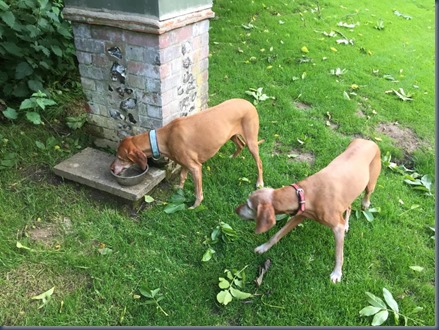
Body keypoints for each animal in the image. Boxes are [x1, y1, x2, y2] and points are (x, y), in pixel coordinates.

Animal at [111, 98, 266, 208]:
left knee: (259, 162)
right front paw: (179, 189)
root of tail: (249, 103)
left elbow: (198, 192)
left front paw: (195, 206)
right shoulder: (184, 163)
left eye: (120, 157)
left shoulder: (195, 167)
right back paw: (232, 157)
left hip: (252, 141)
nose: (111, 169)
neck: (164, 137)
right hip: (232, 135)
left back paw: (259, 182)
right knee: (240, 144)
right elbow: (182, 177)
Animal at [235, 138, 384, 282]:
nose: (235, 210)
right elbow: (277, 235)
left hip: (370, 184)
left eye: (249, 206)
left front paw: (337, 273)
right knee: (349, 206)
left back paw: (364, 204)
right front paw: (263, 248)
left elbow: (339, 254)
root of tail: (369, 141)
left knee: (366, 195)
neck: (305, 193)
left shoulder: (337, 228)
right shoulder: (299, 215)